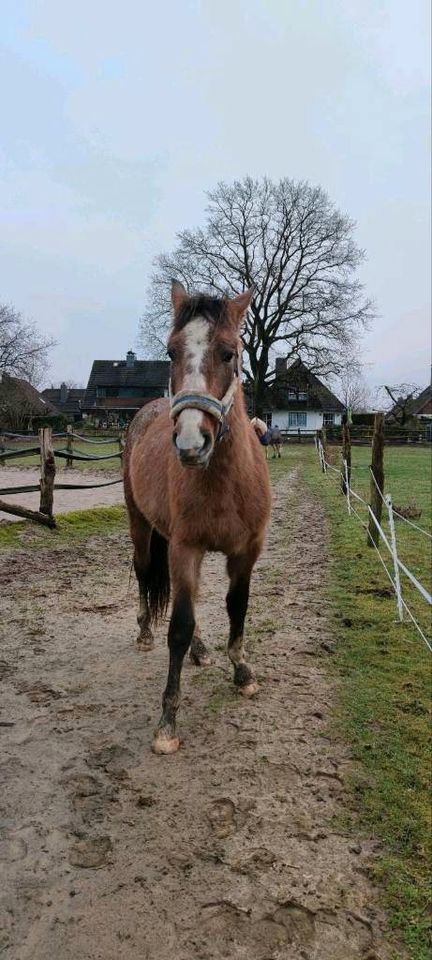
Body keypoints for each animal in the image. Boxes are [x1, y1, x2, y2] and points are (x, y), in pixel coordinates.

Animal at [123, 282, 270, 752]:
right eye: (170, 352)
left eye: (228, 353)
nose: (191, 443)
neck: (225, 483)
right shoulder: (185, 548)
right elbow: (179, 626)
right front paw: (167, 721)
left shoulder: (245, 552)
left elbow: (236, 607)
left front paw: (242, 672)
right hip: (142, 529)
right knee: (143, 573)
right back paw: (145, 634)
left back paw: (202, 650)